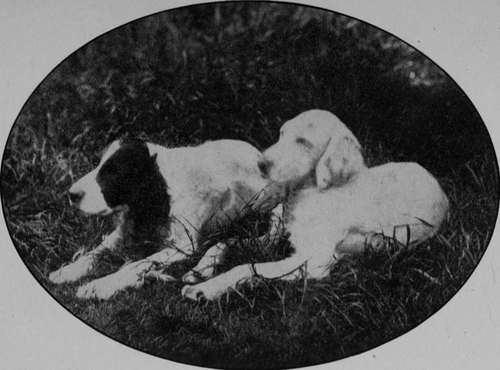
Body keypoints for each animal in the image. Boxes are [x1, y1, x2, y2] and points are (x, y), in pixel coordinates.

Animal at [48, 137, 280, 300]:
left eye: (113, 171)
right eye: (98, 164)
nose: (71, 194)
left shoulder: (184, 245)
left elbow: (137, 264)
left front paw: (99, 285)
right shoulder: (125, 231)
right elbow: (95, 252)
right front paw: (67, 271)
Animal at [181, 109, 450, 300]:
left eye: (304, 142)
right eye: (282, 134)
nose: (260, 164)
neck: (311, 194)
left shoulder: (315, 262)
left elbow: (247, 266)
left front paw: (206, 289)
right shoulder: (270, 239)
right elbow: (223, 242)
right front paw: (199, 270)